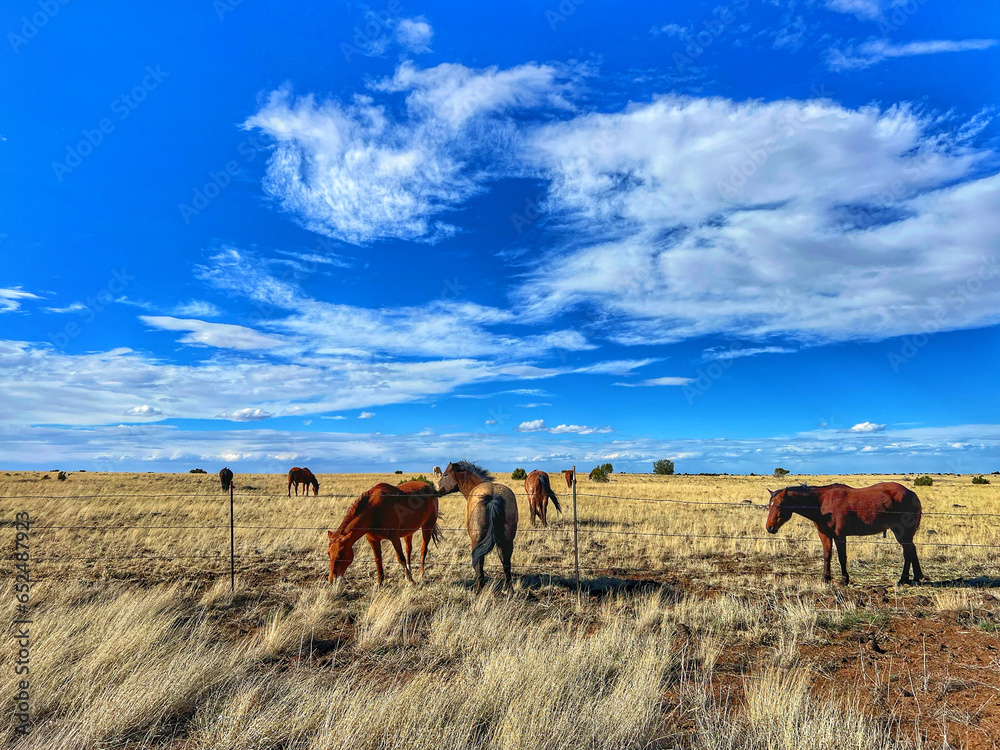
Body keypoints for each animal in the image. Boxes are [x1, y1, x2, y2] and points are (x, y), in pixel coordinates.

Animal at [434, 462, 520, 596]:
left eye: (446, 474)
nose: (435, 488)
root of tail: (492, 495)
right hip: (507, 540)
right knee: (506, 562)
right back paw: (508, 589)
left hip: (476, 540)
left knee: (479, 561)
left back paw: (478, 589)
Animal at [768, 484, 924, 592]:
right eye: (770, 505)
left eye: (779, 505)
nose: (769, 527)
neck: (822, 503)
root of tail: (913, 494)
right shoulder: (825, 535)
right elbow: (827, 556)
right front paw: (826, 578)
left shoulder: (840, 536)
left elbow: (842, 557)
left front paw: (844, 580)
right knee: (912, 550)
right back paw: (917, 577)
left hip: (902, 533)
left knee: (908, 553)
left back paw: (903, 580)